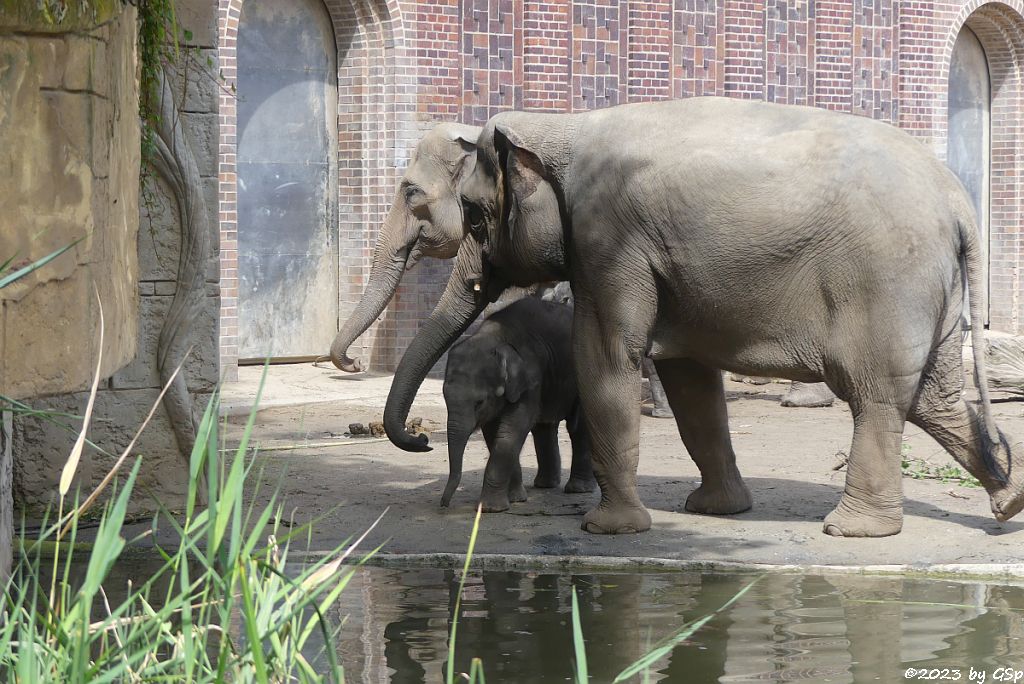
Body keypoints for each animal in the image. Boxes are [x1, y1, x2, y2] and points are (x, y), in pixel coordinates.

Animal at [442, 296, 598, 509]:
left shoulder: (530, 379)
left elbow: (512, 429)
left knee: (579, 428)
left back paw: (578, 489)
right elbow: (494, 432)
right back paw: (545, 485)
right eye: (444, 397)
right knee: (544, 427)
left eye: (479, 402)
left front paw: (490, 508)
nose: (444, 504)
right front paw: (516, 499)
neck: (494, 336)